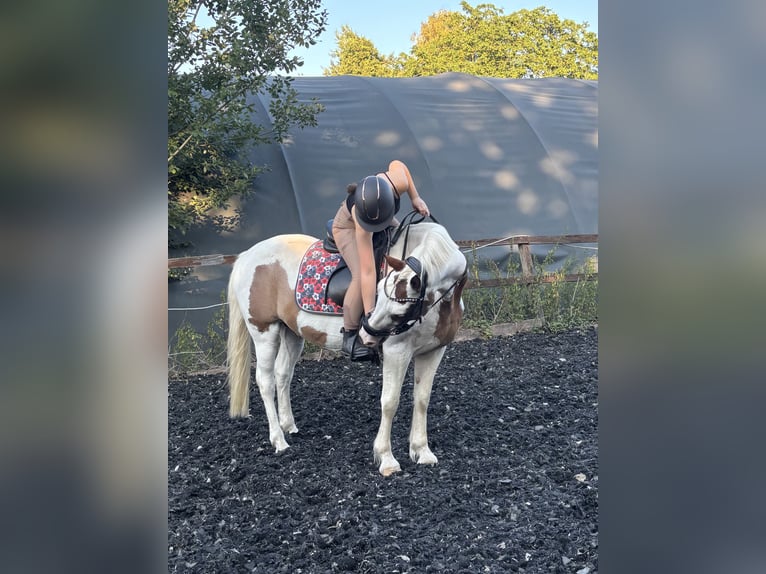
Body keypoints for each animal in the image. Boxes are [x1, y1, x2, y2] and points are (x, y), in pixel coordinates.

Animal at [225, 219, 468, 476]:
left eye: (398, 310)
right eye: (378, 292)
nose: (366, 334)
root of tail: (246, 256)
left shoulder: (433, 351)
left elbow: (422, 400)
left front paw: (422, 452)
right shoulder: (397, 351)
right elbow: (389, 402)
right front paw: (387, 459)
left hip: (291, 332)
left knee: (283, 375)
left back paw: (289, 425)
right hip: (263, 332)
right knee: (265, 381)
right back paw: (278, 440)